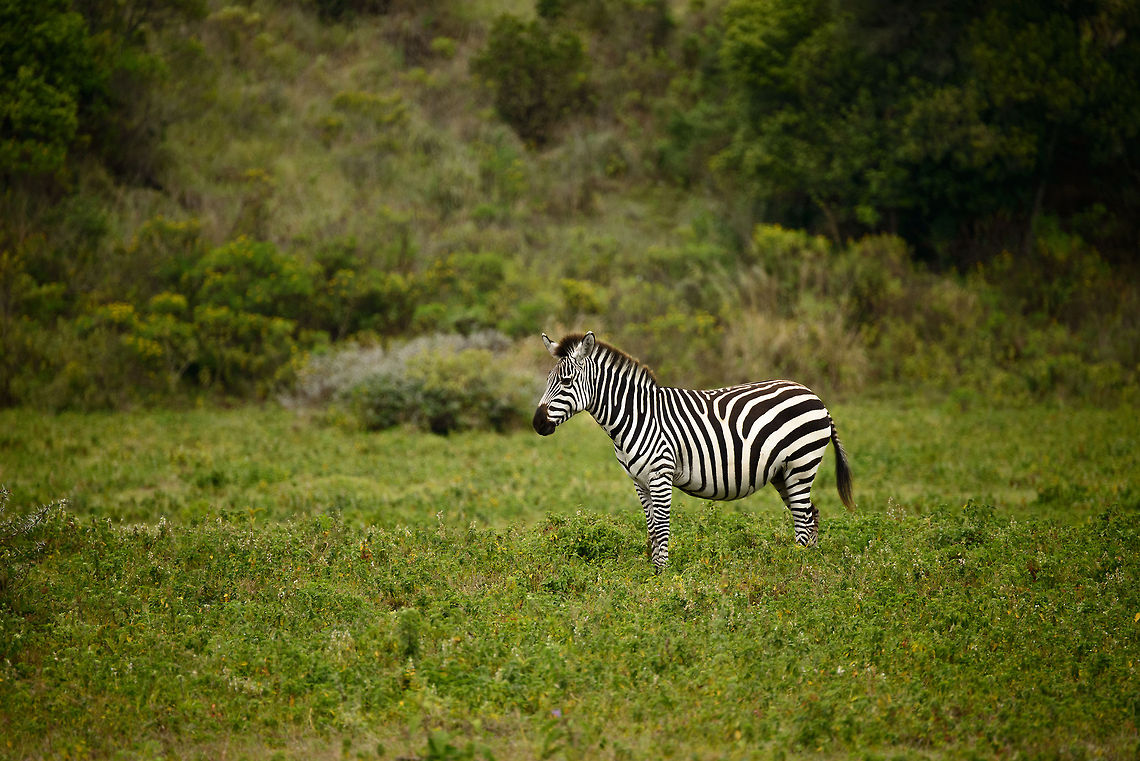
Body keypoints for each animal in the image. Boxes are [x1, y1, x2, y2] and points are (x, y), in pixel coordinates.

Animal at [532, 331, 854, 572]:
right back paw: (809, 565)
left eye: (566, 382)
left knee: (803, 519)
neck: (636, 416)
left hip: (801, 465)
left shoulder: (660, 474)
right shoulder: (639, 481)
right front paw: (651, 573)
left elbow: (662, 527)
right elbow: (651, 528)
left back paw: (796, 567)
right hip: (783, 473)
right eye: (547, 381)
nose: (537, 424)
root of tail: (814, 396)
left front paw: (661, 578)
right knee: (811, 514)